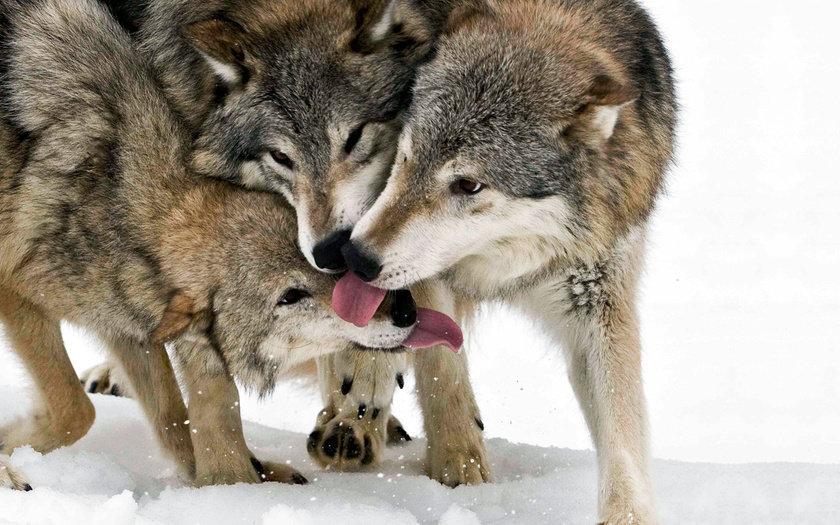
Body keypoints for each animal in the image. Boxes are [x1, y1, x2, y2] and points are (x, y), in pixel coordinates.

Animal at [0, 0, 424, 489]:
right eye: (290, 296)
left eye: (336, 270)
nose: (405, 309)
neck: (116, 193)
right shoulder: (18, 294)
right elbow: (77, 410)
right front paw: (9, 453)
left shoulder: (128, 323)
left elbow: (175, 421)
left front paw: (235, 479)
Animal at [84, 0, 491, 484]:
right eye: (281, 157)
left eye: (355, 137)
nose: (331, 252)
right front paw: (227, 482)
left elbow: (428, 347)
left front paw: (459, 464)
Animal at [338, 0, 677, 522]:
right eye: (407, 156)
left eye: (469, 185)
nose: (356, 257)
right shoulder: (427, 275)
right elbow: (442, 369)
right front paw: (459, 468)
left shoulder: (599, 300)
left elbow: (623, 436)